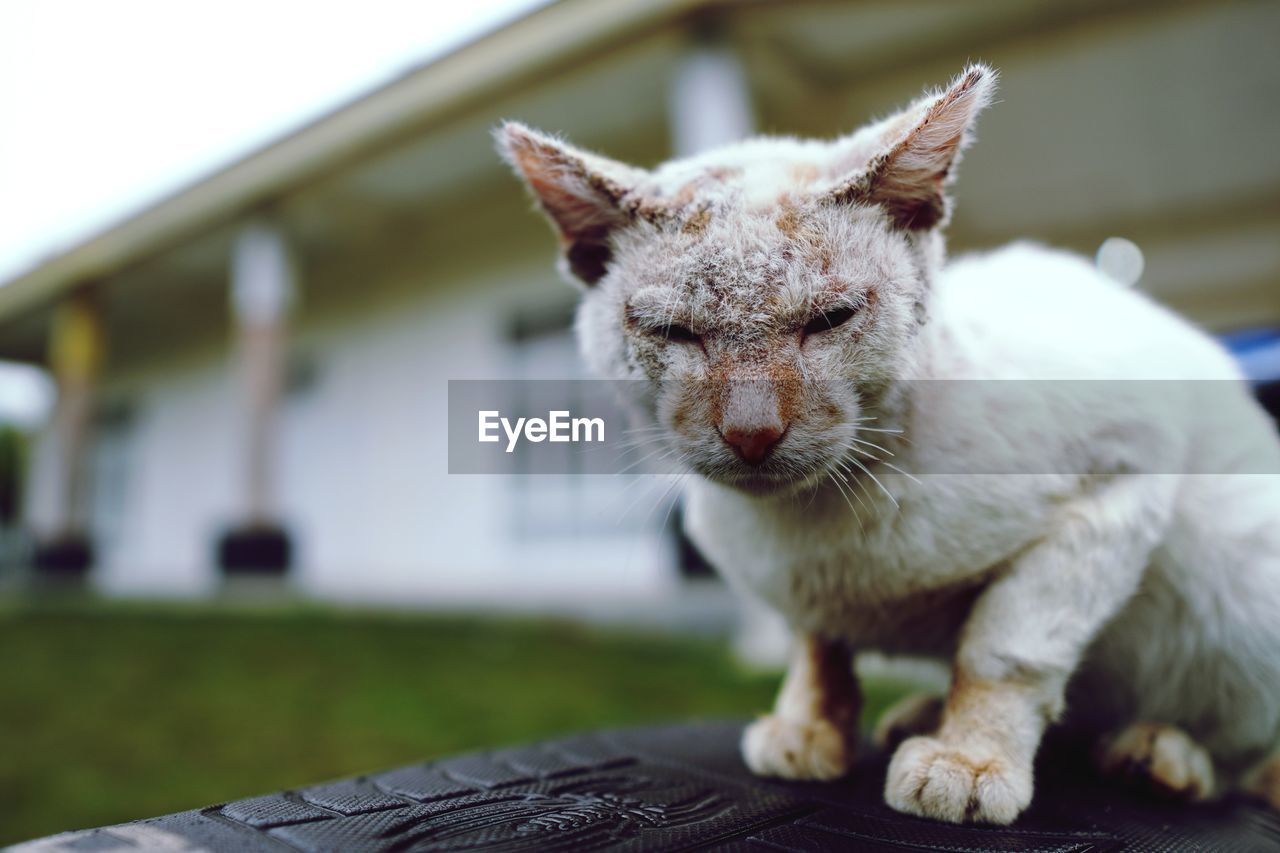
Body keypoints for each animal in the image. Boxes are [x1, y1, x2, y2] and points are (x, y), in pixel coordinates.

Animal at [496, 66, 1280, 824]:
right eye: (674, 333)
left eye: (829, 319)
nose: (752, 430)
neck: (822, 524)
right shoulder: (800, 590)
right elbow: (817, 645)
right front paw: (810, 729)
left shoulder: (1117, 481)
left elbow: (1001, 650)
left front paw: (968, 761)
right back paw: (923, 715)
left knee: (1240, 746)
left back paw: (1164, 756)